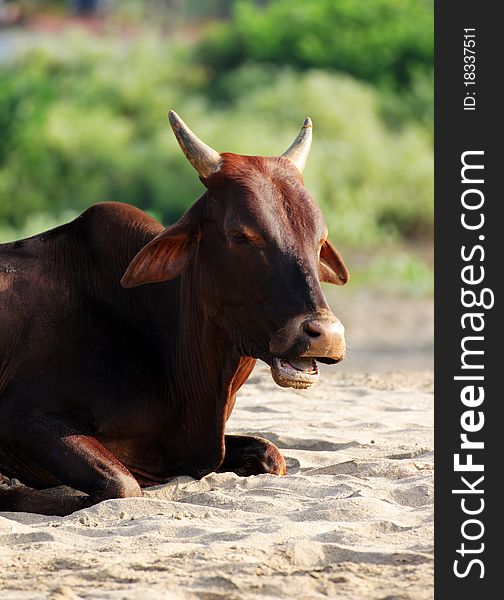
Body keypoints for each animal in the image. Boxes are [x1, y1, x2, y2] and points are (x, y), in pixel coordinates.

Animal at [0, 113, 346, 516]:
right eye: (241, 235)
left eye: (319, 239)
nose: (325, 335)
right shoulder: (25, 417)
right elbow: (121, 485)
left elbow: (271, 454)